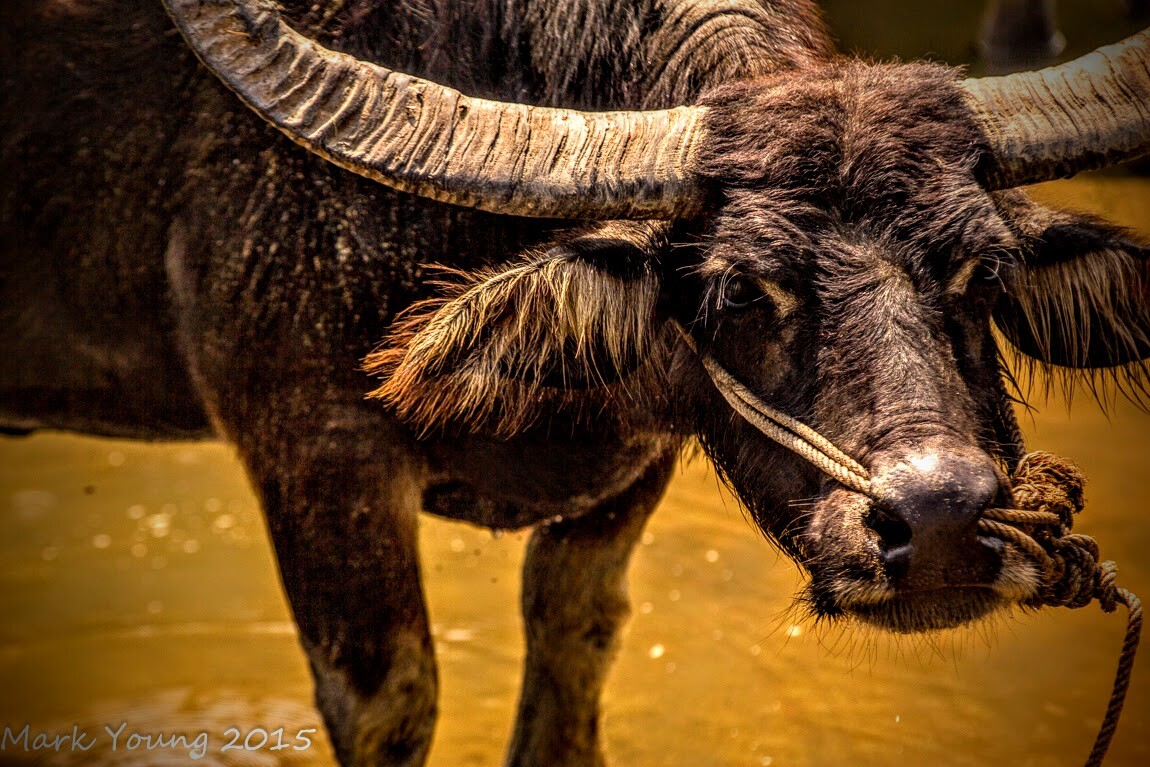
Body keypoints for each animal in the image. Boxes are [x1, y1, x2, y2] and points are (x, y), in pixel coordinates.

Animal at [2, 0, 1149, 765]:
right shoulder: (314, 452)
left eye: (984, 271)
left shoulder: (629, 474)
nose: (943, 519)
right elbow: (390, 701)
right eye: (739, 287)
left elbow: (574, 653)